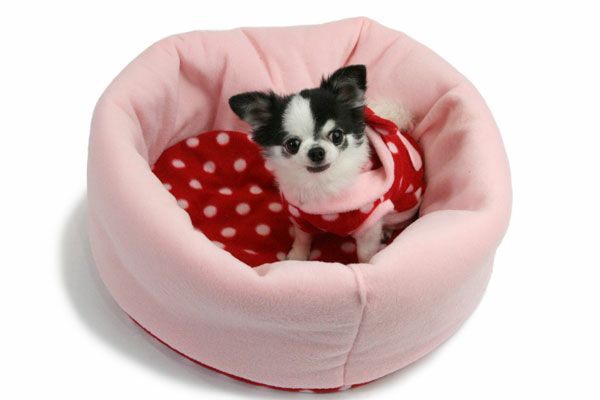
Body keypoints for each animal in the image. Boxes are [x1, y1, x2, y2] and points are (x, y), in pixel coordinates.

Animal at [229, 65, 420, 262]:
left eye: (337, 135)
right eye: (292, 144)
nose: (316, 151)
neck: (321, 182)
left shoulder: (370, 223)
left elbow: (365, 252)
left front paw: (367, 265)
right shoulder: (300, 218)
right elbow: (302, 239)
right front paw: (297, 258)